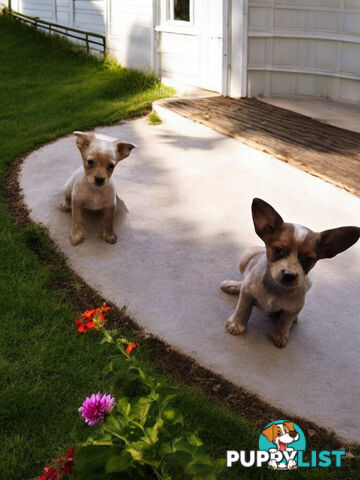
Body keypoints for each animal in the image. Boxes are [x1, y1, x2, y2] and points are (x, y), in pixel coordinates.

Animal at [221, 197, 358, 346]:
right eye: (278, 250)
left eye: (308, 259)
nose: (289, 275)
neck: (275, 288)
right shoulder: (247, 293)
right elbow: (243, 309)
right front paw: (237, 324)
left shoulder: (294, 307)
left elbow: (285, 321)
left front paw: (280, 334)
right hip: (245, 257)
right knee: (243, 281)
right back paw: (233, 285)